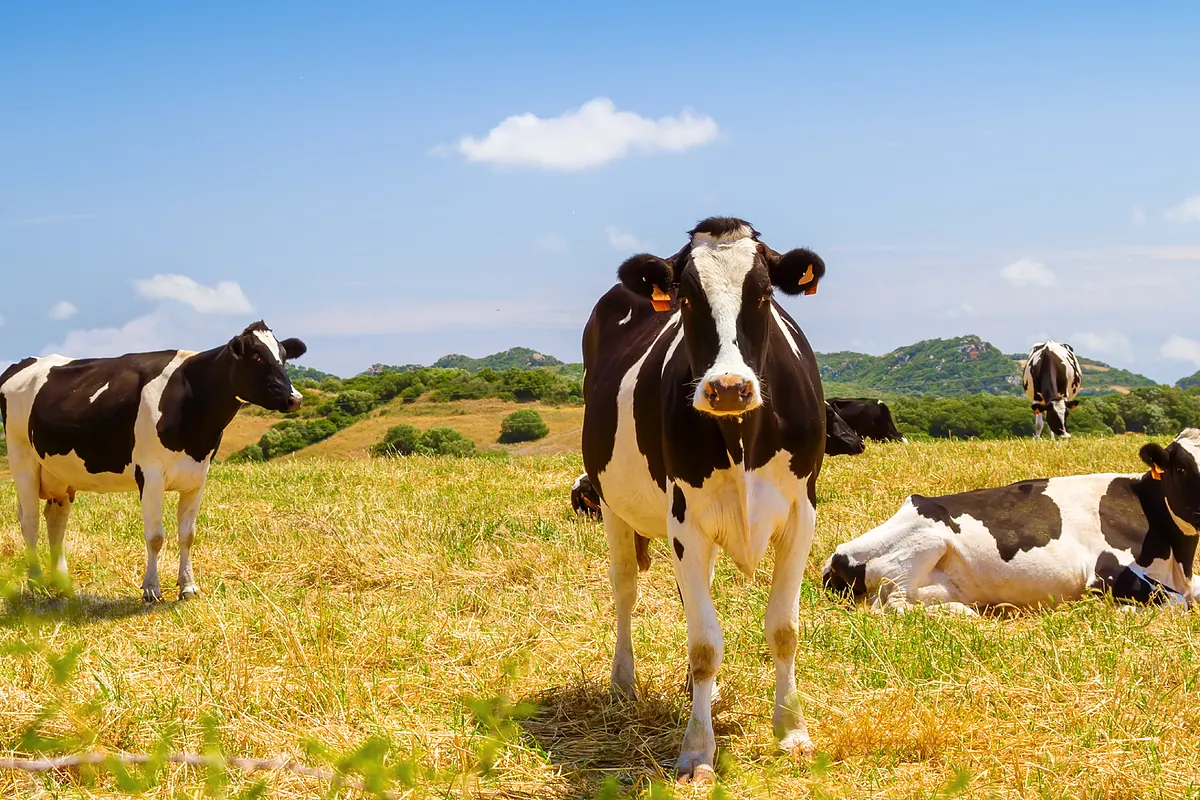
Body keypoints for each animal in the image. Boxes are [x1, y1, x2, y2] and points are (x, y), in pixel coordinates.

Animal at [0, 321, 307, 602]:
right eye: (257, 356)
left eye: (283, 356)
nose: (295, 398)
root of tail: (25, 363)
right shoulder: (149, 475)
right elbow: (155, 536)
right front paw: (151, 589)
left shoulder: (198, 476)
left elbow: (188, 534)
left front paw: (188, 586)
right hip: (22, 460)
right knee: (30, 522)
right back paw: (37, 582)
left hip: (60, 474)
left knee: (56, 521)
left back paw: (62, 583)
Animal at [581, 216, 827, 783]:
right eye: (686, 298)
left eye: (763, 294)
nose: (729, 387)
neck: (741, 436)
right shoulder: (684, 523)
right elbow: (704, 644)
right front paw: (697, 751)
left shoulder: (801, 514)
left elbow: (784, 629)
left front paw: (793, 731)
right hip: (610, 504)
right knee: (625, 588)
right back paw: (623, 682)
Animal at [822, 429, 1200, 613]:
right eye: (1182, 468)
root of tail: (837, 554)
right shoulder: (1105, 571)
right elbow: (1177, 603)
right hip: (922, 545)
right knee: (891, 607)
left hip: (942, 586)